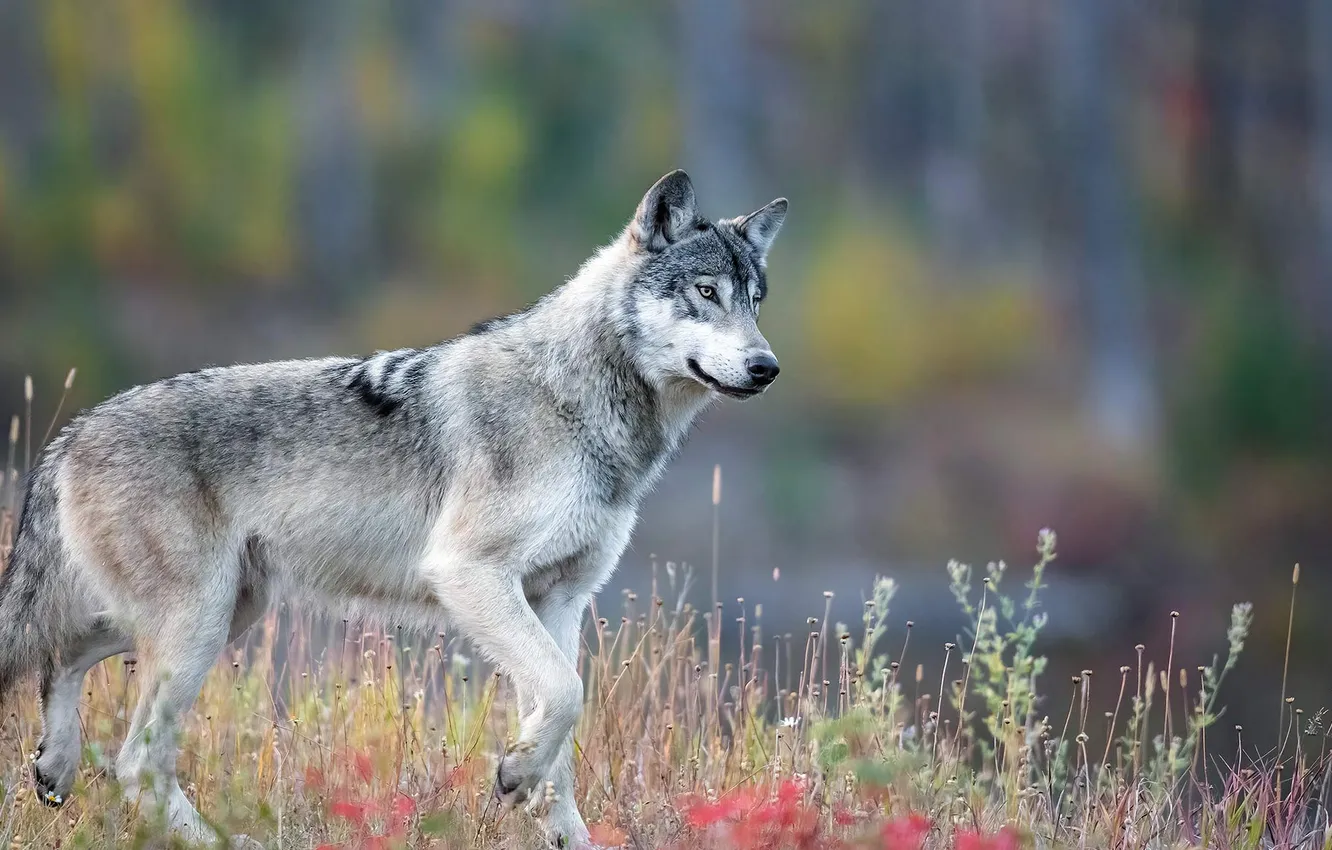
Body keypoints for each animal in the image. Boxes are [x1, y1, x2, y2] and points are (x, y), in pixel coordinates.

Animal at [0, 170, 786, 847]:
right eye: (705, 291)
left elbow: (561, 722)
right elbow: (566, 695)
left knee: (62, 659)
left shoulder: (560, 601)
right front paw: (515, 773)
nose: (767, 368)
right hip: (198, 624)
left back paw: (54, 765)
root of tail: (72, 432)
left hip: (223, 612)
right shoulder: (470, 574)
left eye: (754, 300)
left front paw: (557, 824)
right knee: (135, 758)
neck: (576, 401)